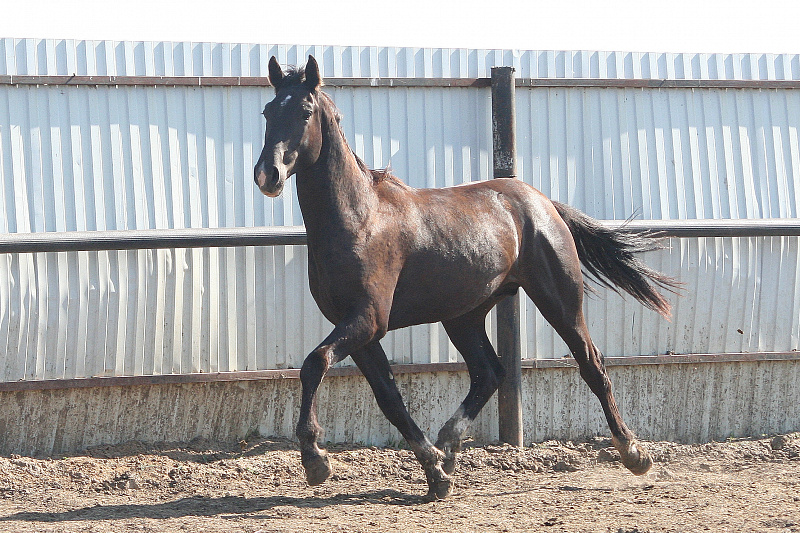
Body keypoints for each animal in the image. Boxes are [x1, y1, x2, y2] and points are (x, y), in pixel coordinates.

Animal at [254, 55, 679, 500]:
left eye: (304, 112)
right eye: (267, 111)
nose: (268, 174)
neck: (360, 219)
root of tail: (541, 201)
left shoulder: (368, 320)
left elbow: (314, 363)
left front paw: (315, 460)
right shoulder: (358, 330)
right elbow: (389, 398)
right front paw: (436, 474)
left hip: (559, 300)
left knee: (591, 365)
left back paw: (634, 453)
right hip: (464, 316)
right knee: (489, 373)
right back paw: (448, 446)